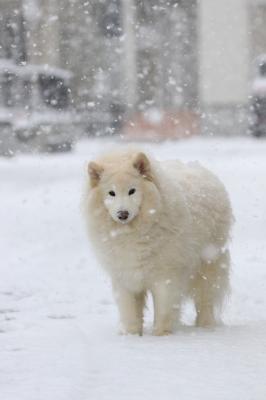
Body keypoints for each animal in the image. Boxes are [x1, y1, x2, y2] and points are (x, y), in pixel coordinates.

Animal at [84, 148, 233, 336]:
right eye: (111, 193)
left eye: (132, 191)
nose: (122, 214)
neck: (132, 233)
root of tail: (198, 167)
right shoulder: (124, 276)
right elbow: (130, 311)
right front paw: (131, 336)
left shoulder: (165, 276)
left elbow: (163, 309)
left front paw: (161, 336)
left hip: (208, 264)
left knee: (205, 299)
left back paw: (206, 326)